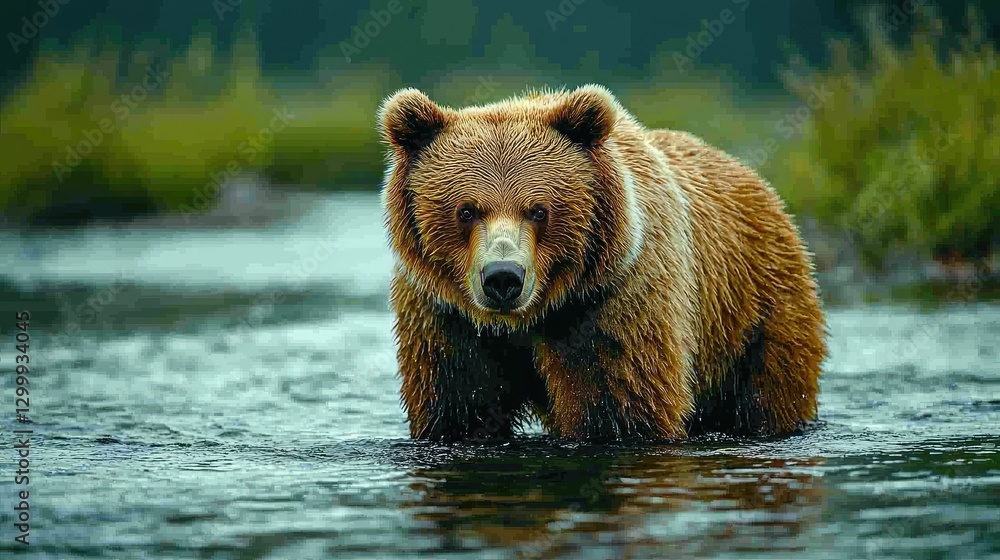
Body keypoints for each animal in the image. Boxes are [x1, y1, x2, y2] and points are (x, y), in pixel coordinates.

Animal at [377, 84, 826, 443]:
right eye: (466, 210)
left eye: (538, 210)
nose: (503, 278)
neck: (532, 317)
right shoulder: (446, 318)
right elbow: (458, 404)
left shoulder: (611, 301)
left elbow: (617, 407)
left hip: (758, 312)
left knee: (768, 392)